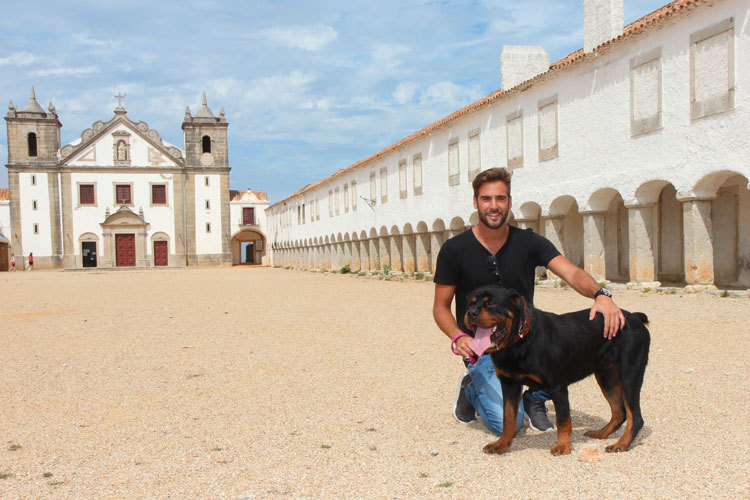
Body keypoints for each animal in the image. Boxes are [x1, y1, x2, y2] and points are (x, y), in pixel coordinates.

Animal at [464, 285, 650, 456]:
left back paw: (622, 443)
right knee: (620, 412)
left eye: (492, 303)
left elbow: (563, 420)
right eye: (469, 303)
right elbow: (508, 418)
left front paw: (562, 446)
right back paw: (601, 433)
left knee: (635, 416)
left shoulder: (557, 386)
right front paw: (502, 444)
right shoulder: (509, 384)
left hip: (629, 374)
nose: (471, 312)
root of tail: (634, 317)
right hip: (606, 375)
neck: (519, 343)